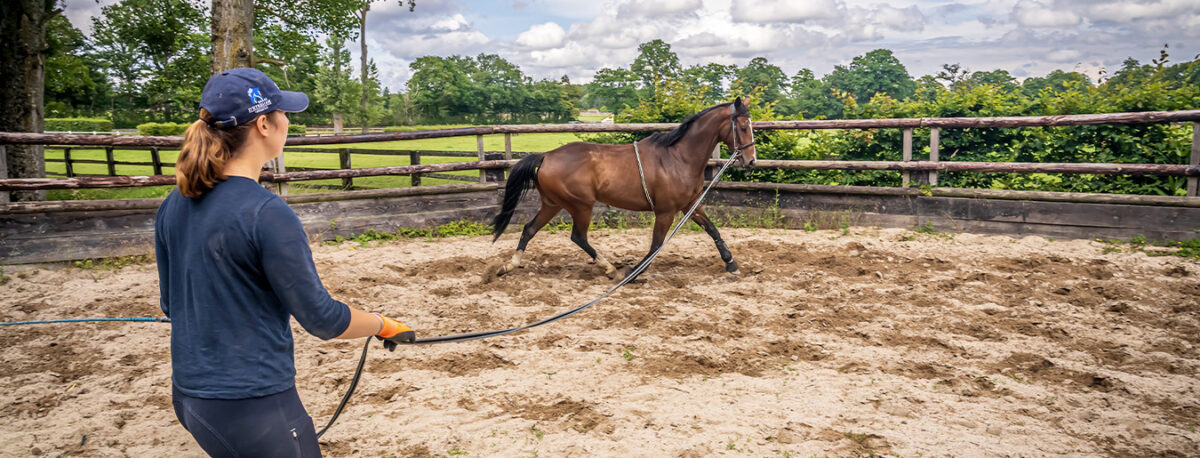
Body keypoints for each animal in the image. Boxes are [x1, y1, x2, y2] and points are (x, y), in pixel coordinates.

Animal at [489, 98, 753, 280]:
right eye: (742, 127)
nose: (751, 161)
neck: (678, 157)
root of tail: (546, 156)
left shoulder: (690, 205)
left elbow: (713, 230)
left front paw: (731, 264)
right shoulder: (665, 211)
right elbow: (656, 245)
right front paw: (633, 272)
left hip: (552, 204)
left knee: (529, 229)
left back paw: (508, 266)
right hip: (581, 205)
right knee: (578, 236)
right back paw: (610, 269)